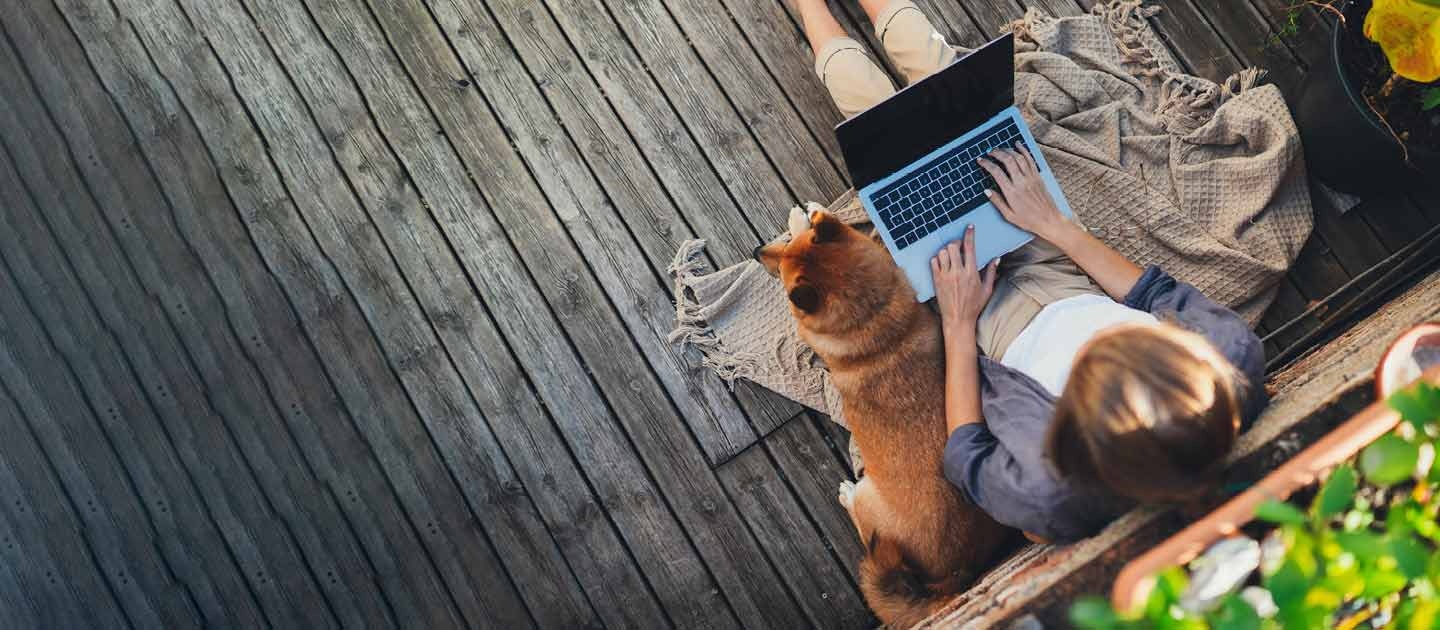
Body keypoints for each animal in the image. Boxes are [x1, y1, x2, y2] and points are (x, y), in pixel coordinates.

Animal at [754, 205, 1013, 624]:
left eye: (782, 271)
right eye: (787, 249)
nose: (756, 251)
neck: (871, 314)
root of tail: (954, 577)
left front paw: (801, 216)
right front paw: (814, 214)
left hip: (869, 503)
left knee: (862, 526)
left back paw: (846, 494)